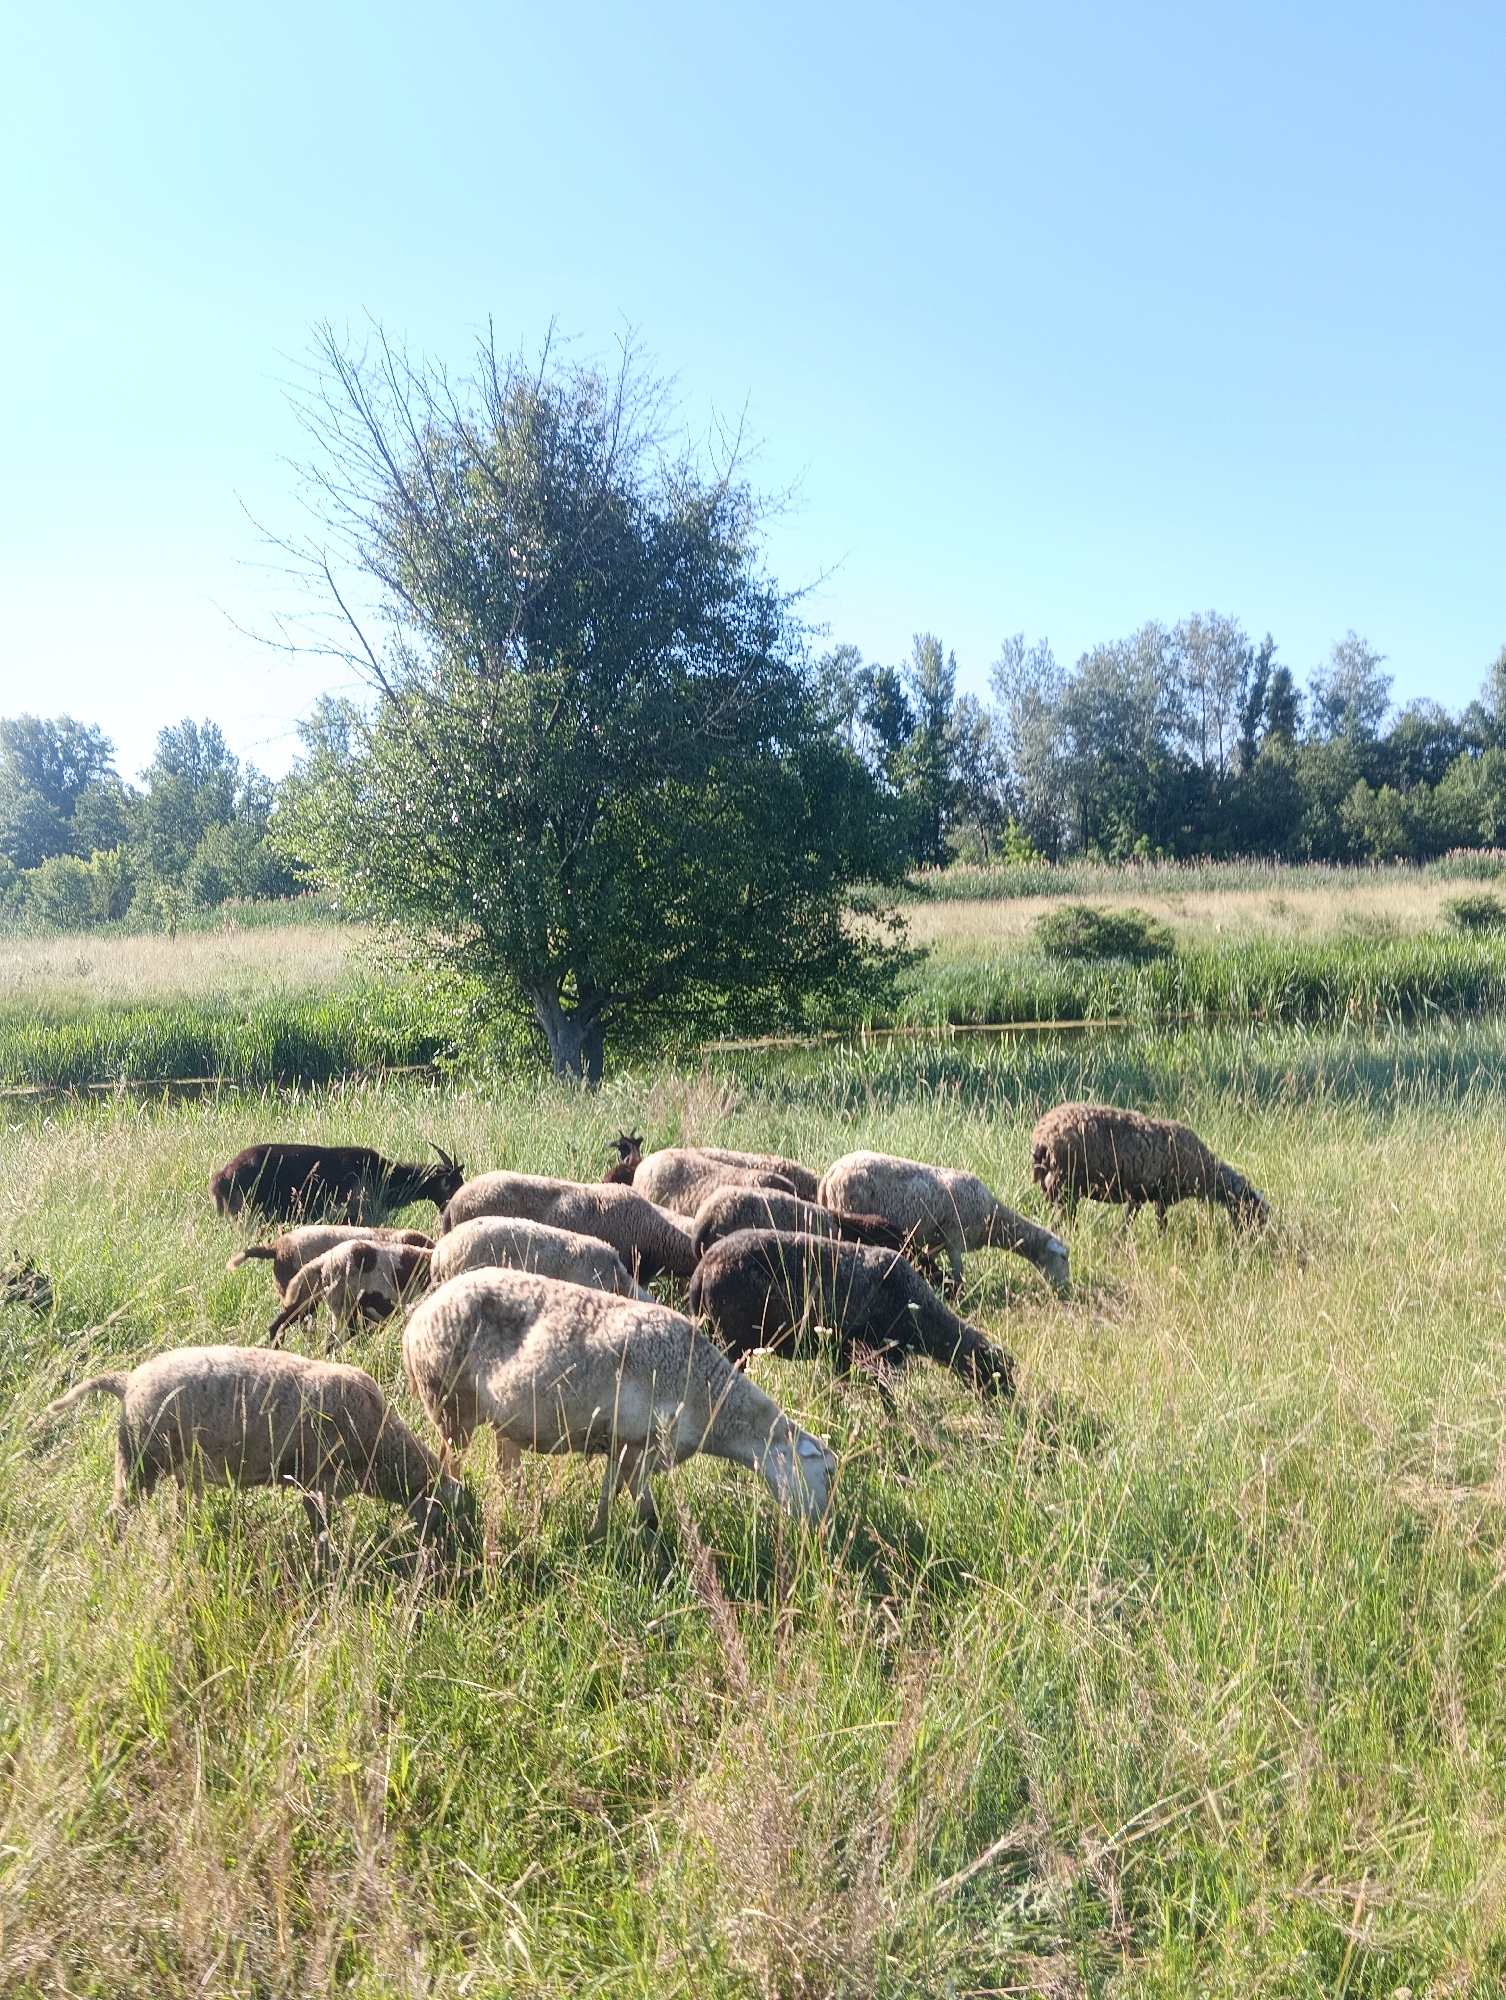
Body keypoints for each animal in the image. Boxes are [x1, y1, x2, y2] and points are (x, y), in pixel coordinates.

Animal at [46, 1345, 460, 1555]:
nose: (449, 1551)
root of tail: (128, 1381)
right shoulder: (316, 1481)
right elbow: (322, 1532)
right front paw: (328, 1563)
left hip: (175, 1466)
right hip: (140, 1460)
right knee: (116, 1516)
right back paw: (112, 1556)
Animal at [403, 1270, 835, 1538]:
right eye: (828, 1473)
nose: (823, 1529)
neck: (710, 1398)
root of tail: (416, 1319)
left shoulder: (621, 1442)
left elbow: (610, 1495)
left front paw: (599, 1534)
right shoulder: (638, 1443)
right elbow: (644, 1511)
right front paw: (654, 1551)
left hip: (496, 1417)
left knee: (507, 1472)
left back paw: (521, 1514)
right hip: (448, 1401)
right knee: (450, 1463)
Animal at [690, 1229, 1016, 1405]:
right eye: (995, 1372)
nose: (1011, 1404)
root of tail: (702, 1269)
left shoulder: (844, 1351)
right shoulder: (868, 1349)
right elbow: (885, 1393)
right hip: (732, 1341)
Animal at [818, 1151, 1070, 1290]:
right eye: (1063, 1258)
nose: (1065, 1289)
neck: (992, 1219)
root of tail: (830, 1173)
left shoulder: (936, 1241)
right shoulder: (954, 1239)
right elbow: (959, 1272)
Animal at [1029, 1102, 1270, 1226]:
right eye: (1257, 1216)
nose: (1252, 1243)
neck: (1203, 1170)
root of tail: (1041, 1138)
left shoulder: (1139, 1195)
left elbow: (1128, 1224)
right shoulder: (1157, 1195)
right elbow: (1159, 1225)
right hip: (1064, 1184)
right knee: (1064, 1221)